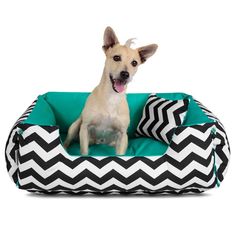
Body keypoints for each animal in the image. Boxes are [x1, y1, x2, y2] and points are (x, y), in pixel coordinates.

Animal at [63, 26, 158, 155]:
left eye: (134, 63)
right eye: (116, 57)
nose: (125, 74)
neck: (112, 96)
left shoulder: (123, 135)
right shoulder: (84, 128)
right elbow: (84, 152)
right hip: (75, 125)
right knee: (68, 139)